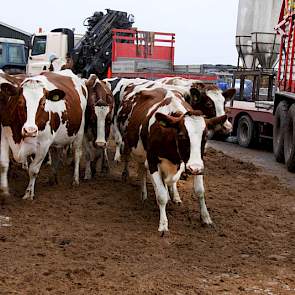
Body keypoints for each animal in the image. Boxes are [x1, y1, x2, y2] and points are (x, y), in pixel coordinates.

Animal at [0, 69, 88, 201]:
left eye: (43, 103)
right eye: (20, 102)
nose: (30, 130)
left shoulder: (44, 144)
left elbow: (33, 170)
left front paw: (29, 194)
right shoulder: (4, 137)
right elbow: (3, 164)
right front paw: (4, 192)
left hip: (79, 131)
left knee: (77, 153)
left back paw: (75, 180)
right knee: (56, 154)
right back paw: (52, 179)